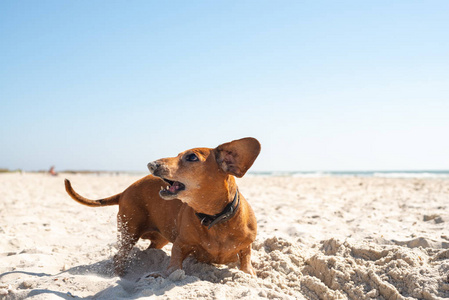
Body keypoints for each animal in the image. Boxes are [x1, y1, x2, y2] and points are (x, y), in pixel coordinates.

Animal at [63, 138, 260, 276]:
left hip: (159, 239)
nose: (151, 164)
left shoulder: (246, 246)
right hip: (129, 231)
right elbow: (174, 265)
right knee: (119, 256)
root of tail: (125, 191)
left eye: (191, 157)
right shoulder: (180, 244)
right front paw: (170, 273)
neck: (214, 220)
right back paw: (119, 276)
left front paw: (248, 272)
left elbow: (246, 258)